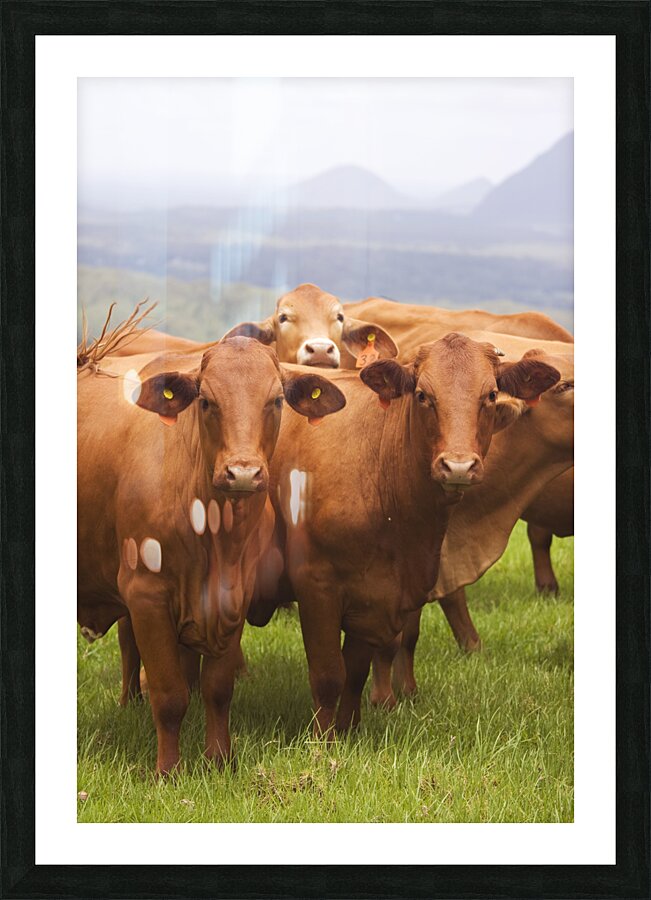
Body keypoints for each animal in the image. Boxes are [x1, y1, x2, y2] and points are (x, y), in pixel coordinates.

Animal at [77, 337, 346, 774]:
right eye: (206, 401)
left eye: (276, 400)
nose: (243, 473)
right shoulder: (145, 596)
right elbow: (170, 694)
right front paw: (168, 771)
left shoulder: (235, 594)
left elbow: (218, 687)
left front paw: (219, 758)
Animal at [247, 333, 561, 733]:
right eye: (423, 396)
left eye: (490, 395)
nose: (458, 466)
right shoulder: (316, 586)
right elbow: (329, 674)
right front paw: (323, 740)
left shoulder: (379, 595)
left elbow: (356, 672)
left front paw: (350, 731)